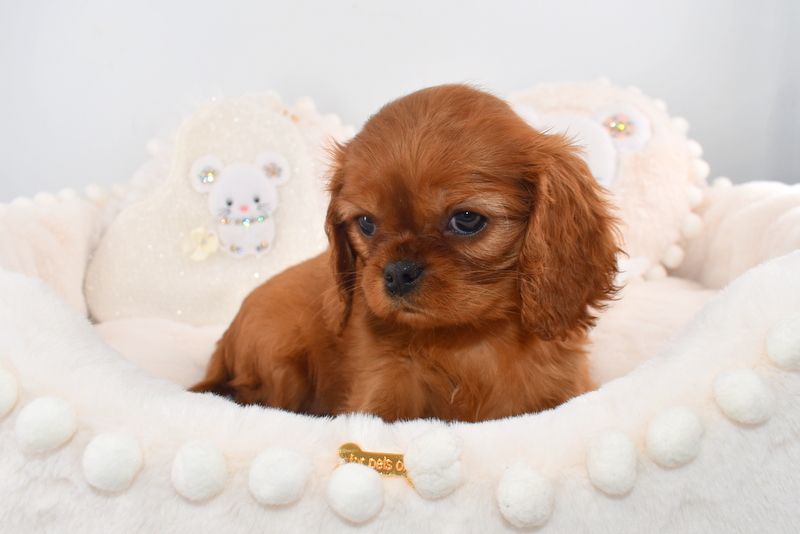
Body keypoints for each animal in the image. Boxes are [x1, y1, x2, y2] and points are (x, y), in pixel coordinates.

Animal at [191, 84, 619, 422]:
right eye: (366, 223)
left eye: (466, 219)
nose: (397, 272)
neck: (468, 339)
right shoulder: (384, 391)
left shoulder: (564, 391)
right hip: (280, 356)